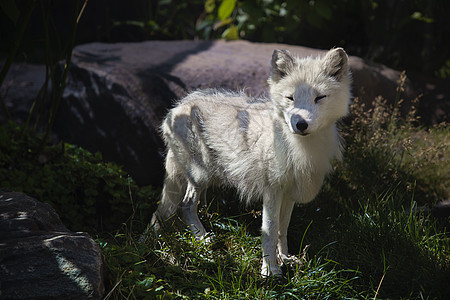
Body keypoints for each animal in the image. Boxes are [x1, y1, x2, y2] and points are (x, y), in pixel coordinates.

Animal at [151, 47, 352, 276]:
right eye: (290, 98)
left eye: (319, 97)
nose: (300, 124)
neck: (298, 148)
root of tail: (177, 108)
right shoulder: (272, 191)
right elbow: (270, 231)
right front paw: (270, 270)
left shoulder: (289, 192)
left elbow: (283, 229)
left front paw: (284, 258)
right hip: (200, 175)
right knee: (185, 206)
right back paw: (203, 240)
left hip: (205, 178)